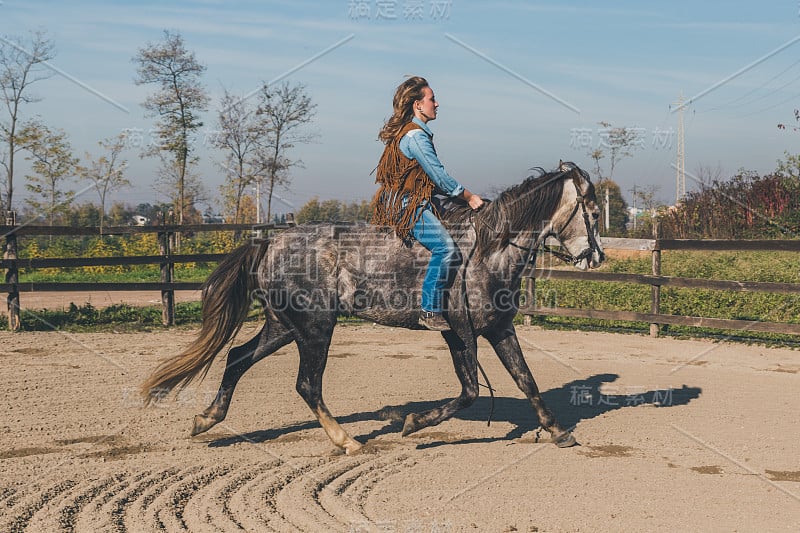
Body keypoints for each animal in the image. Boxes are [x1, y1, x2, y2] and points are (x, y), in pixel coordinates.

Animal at [142, 161, 608, 454]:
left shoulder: (497, 329)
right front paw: (413, 423)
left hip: (283, 326)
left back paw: (207, 419)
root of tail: (271, 241)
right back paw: (346, 441)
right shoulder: (459, 332)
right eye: (593, 211)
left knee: (237, 358)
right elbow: (471, 391)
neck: (490, 250)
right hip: (315, 328)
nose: (597, 257)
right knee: (307, 385)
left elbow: (525, 379)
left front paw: (558, 431)